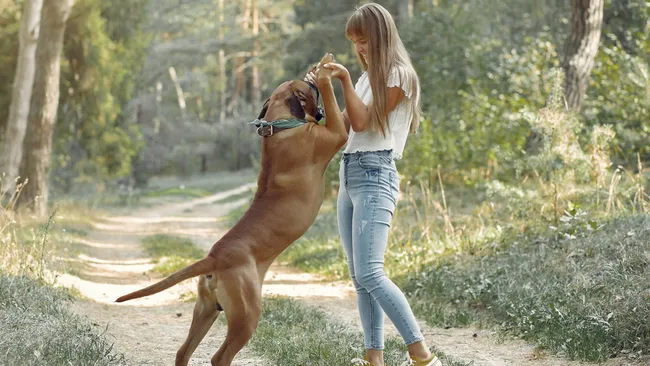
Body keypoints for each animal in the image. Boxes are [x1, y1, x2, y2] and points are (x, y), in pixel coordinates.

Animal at [118, 53, 346, 366]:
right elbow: (340, 111)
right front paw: (327, 73)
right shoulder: (336, 133)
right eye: (309, 89)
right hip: (246, 316)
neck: (277, 126)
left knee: (182, 351)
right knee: (219, 357)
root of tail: (213, 258)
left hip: (205, 311)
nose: (310, 77)